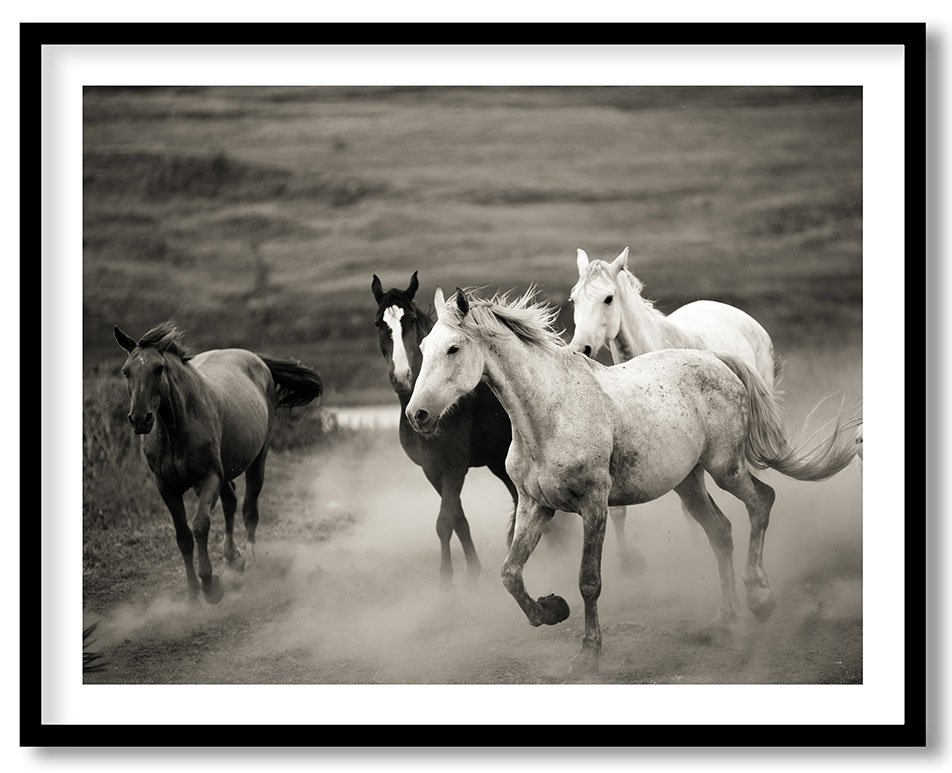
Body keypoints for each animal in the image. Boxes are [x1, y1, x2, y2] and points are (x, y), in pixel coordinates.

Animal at [113, 322, 324, 604]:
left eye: (158, 368)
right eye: (126, 371)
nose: (139, 419)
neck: (175, 430)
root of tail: (256, 358)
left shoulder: (208, 477)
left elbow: (200, 525)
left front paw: (211, 585)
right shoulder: (166, 487)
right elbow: (183, 536)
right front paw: (192, 593)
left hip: (257, 460)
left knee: (249, 510)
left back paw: (251, 562)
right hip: (225, 472)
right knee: (230, 503)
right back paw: (233, 558)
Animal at [372, 272, 518, 588]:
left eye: (412, 319)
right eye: (378, 323)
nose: (401, 377)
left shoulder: (454, 467)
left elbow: (444, 521)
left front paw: (446, 582)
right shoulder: (432, 469)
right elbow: (458, 521)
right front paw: (472, 571)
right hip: (498, 462)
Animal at [406, 287, 861, 675]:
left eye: (453, 348)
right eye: (423, 348)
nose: (417, 415)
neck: (549, 415)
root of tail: (716, 359)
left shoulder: (593, 504)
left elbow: (589, 581)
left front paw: (588, 654)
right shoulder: (537, 505)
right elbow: (510, 573)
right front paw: (551, 610)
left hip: (725, 467)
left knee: (761, 501)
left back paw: (761, 598)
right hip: (689, 483)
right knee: (721, 532)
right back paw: (724, 621)